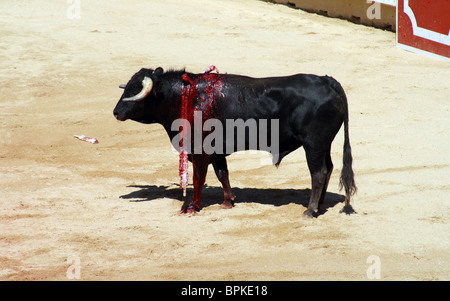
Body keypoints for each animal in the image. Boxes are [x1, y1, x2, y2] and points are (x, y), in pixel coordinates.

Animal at [111, 67, 356, 217]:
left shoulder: (200, 150)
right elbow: (222, 174)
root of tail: (326, 80)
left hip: (313, 145)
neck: (187, 97)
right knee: (329, 168)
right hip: (323, 145)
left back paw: (310, 210)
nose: (116, 112)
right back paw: (320, 204)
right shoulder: (217, 151)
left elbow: (199, 178)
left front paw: (192, 207)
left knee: (318, 172)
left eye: (136, 90)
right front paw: (228, 201)